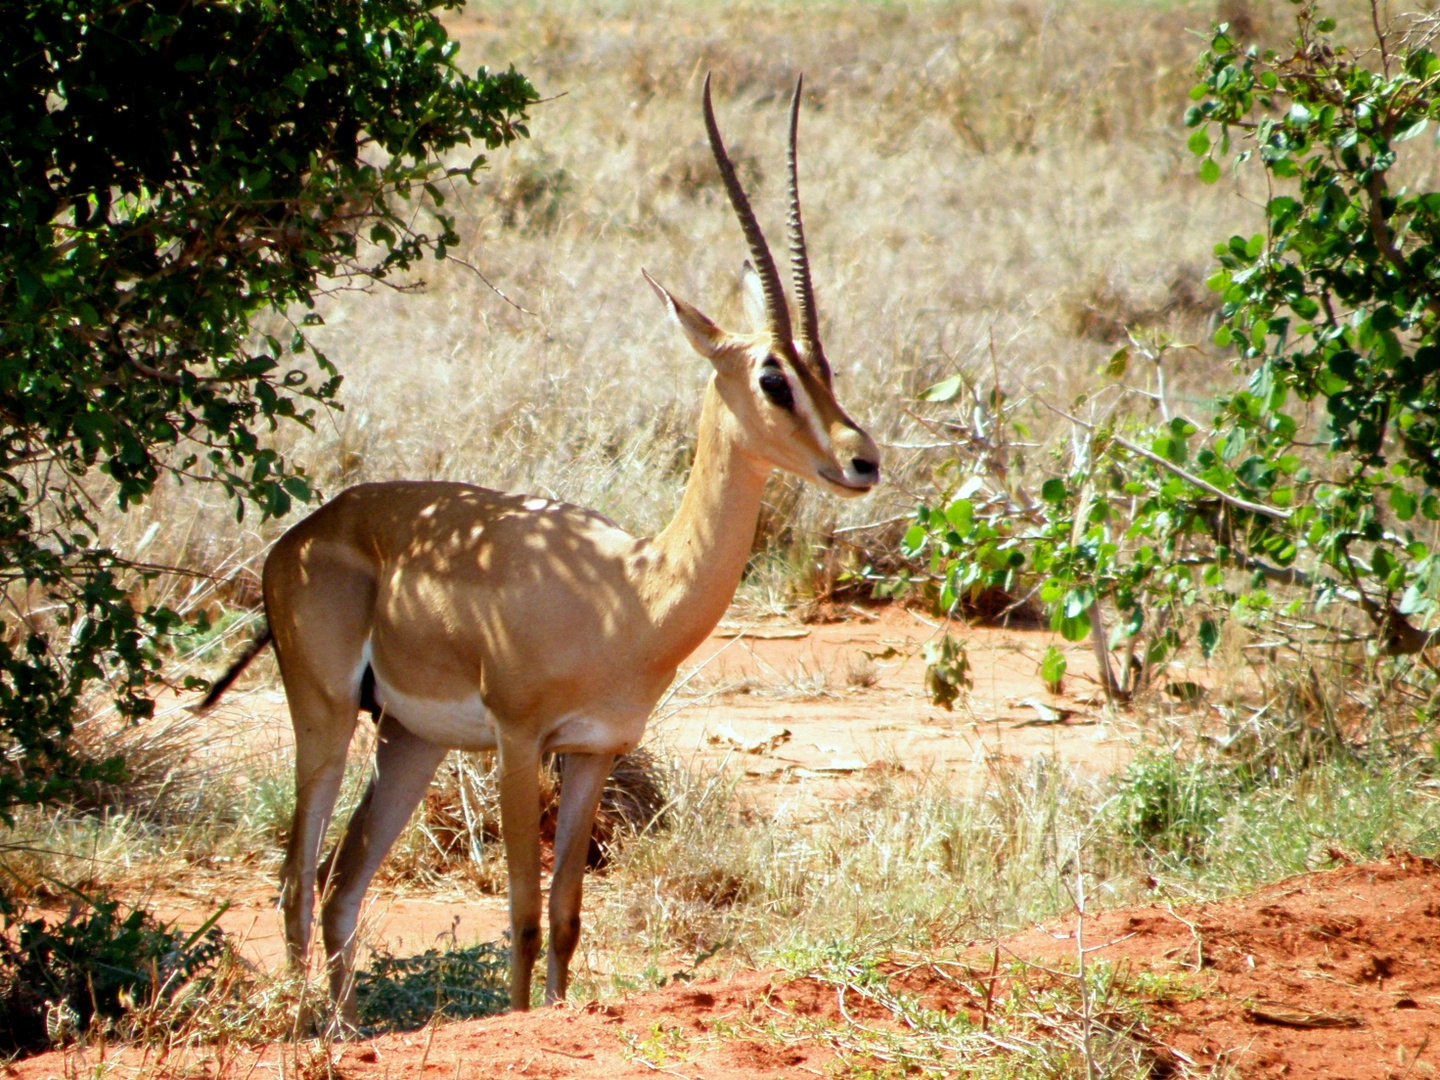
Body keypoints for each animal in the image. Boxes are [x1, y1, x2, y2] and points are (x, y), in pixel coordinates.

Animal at [200, 76, 875, 1025]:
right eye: (773, 377)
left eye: (825, 368)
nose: (862, 460)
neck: (630, 592)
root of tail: (299, 538)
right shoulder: (521, 743)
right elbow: (520, 914)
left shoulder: (592, 751)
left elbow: (565, 915)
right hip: (326, 717)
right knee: (296, 877)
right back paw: (312, 1030)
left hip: (409, 741)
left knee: (339, 883)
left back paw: (343, 1026)